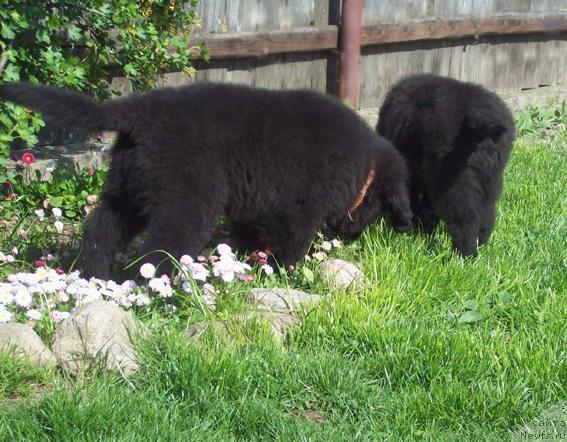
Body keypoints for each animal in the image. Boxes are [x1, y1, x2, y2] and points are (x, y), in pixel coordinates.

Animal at [1, 81, 412, 278]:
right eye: (376, 211)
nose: (353, 237)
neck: (364, 166)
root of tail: (137, 110)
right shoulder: (300, 210)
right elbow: (293, 243)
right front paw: (282, 272)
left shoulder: (257, 206)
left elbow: (250, 234)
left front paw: (248, 259)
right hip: (188, 199)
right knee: (159, 249)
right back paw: (157, 290)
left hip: (127, 189)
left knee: (101, 231)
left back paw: (95, 276)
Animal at [378, 74, 516, 258]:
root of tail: (480, 122)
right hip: (491, 178)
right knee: (486, 213)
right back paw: (481, 246)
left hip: (453, 179)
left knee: (463, 217)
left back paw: (465, 254)